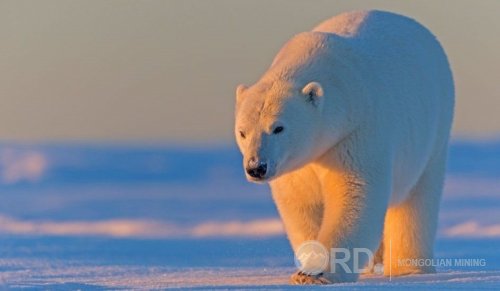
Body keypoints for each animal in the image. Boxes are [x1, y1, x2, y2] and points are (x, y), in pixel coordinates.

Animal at [234, 10, 454, 286]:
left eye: (278, 128)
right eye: (242, 132)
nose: (256, 167)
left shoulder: (356, 133)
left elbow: (352, 196)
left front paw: (318, 274)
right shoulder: (297, 163)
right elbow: (302, 204)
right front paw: (307, 269)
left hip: (433, 132)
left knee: (417, 201)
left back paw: (410, 269)